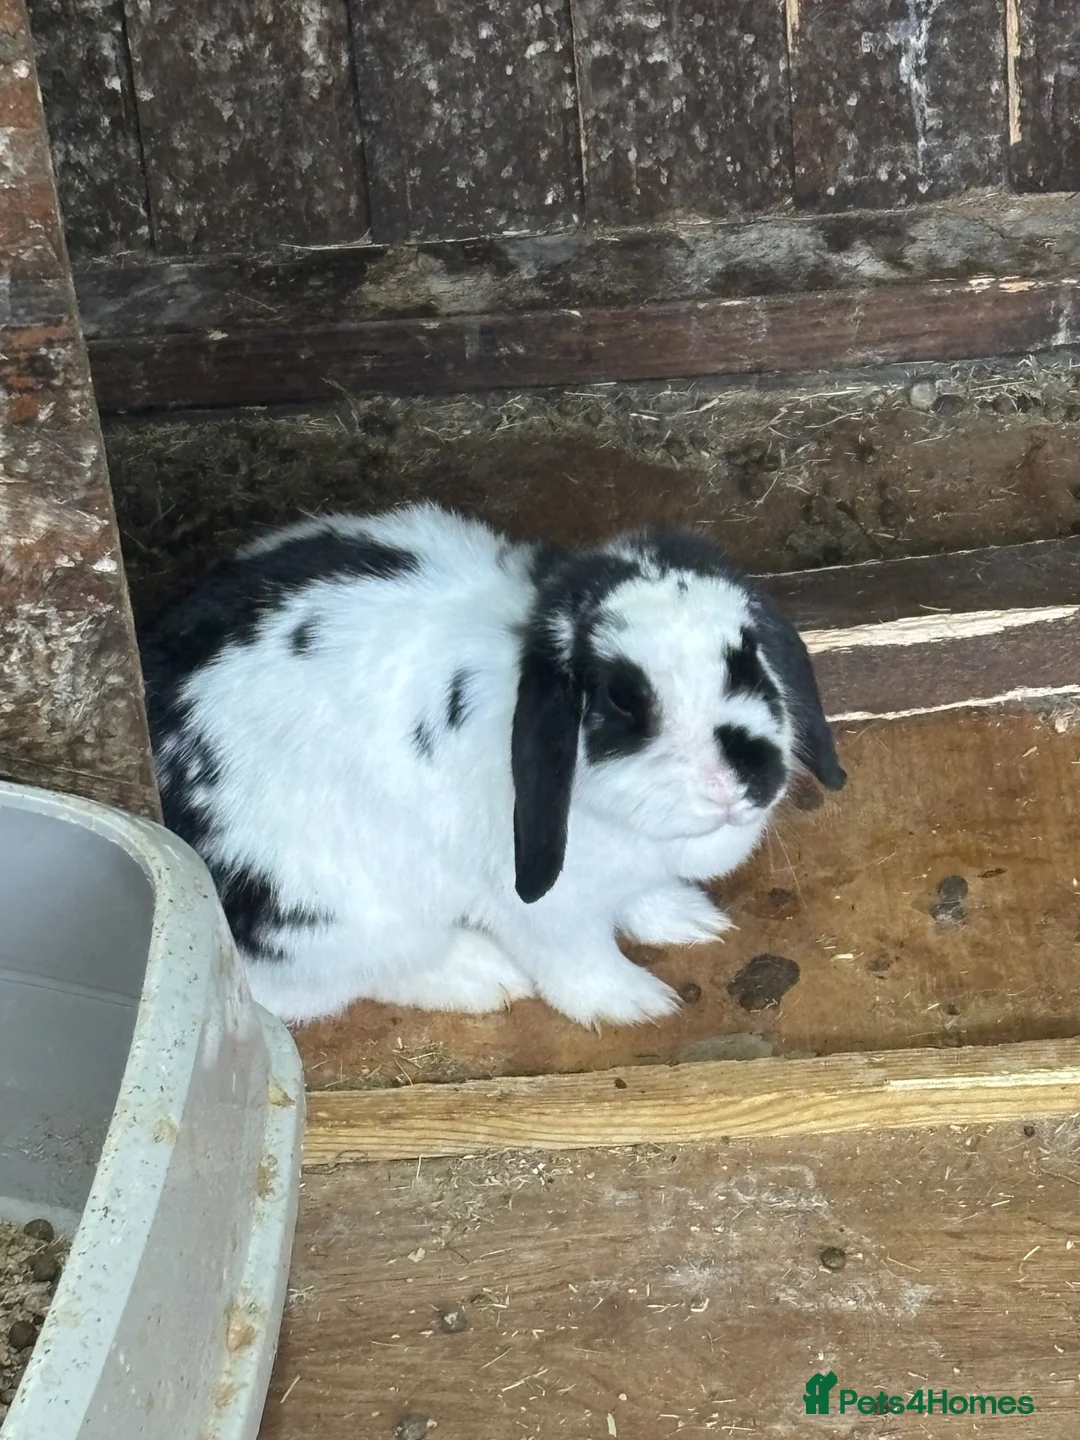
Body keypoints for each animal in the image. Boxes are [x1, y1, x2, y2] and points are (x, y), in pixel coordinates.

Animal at [140, 502, 846, 1030]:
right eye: (621, 698)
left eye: (747, 659)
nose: (736, 781)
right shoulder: (544, 909)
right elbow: (579, 960)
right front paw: (636, 1002)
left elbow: (643, 899)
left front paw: (690, 921)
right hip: (336, 916)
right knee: (344, 979)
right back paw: (484, 976)